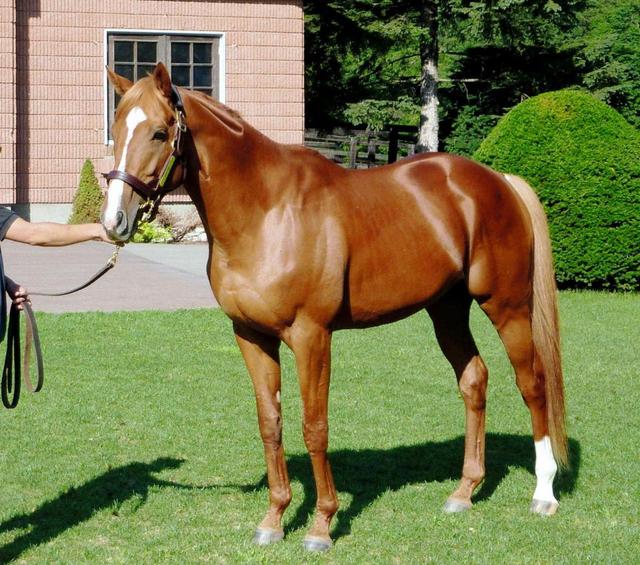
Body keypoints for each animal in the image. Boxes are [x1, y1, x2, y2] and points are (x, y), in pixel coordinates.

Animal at [102, 63, 567, 551]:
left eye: (159, 132)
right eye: (117, 127)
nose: (114, 221)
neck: (267, 212)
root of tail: (499, 181)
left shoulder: (312, 336)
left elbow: (314, 426)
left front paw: (321, 525)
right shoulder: (251, 336)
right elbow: (271, 423)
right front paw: (274, 519)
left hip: (507, 305)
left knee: (532, 383)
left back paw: (544, 492)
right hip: (447, 309)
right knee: (474, 380)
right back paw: (464, 491)